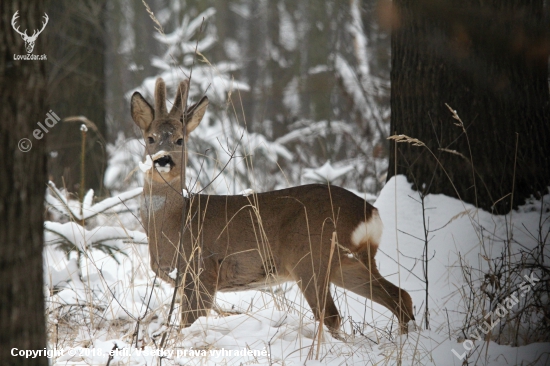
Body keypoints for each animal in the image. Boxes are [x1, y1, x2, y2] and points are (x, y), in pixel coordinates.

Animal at [133, 78, 414, 336]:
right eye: (150, 138)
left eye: (180, 140)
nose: (162, 160)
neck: (175, 222)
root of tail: (370, 214)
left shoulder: (203, 267)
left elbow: (190, 321)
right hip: (346, 262)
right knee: (400, 296)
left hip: (310, 257)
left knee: (331, 315)